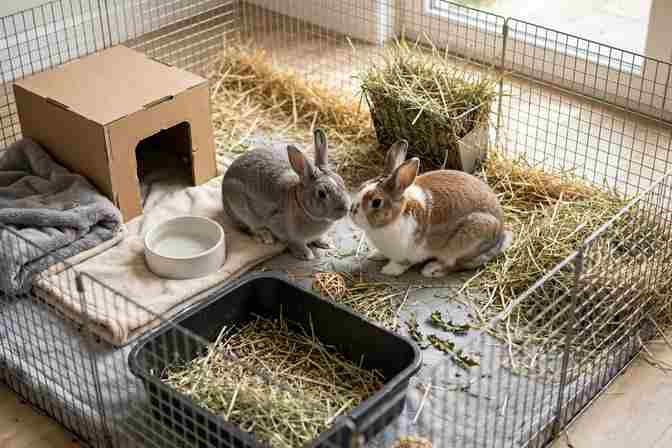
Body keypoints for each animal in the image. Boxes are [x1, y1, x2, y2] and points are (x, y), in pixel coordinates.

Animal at [221, 129, 351, 260]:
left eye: (342, 181)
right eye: (321, 193)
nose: (345, 209)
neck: (301, 205)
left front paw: (326, 243)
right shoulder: (281, 228)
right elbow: (293, 242)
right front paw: (306, 254)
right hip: (239, 204)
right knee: (252, 226)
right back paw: (265, 236)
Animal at [349, 140, 513, 278]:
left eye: (376, 202)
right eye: (362, 186)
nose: (351, 212)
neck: (397, 216)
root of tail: (500, 235)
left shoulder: (407, 253)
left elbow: (402, 263)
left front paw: (388, 270)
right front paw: (375, 255)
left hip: (465, 240)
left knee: (455, 264)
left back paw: (431, 270)